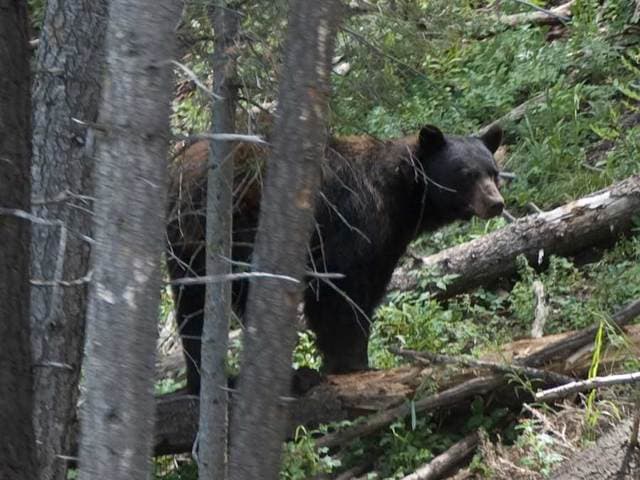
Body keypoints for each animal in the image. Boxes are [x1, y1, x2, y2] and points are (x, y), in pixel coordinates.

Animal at [166, 123, 504, 393]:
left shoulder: (386, 244)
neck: (403, 198)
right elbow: (341, 295)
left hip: (186, 248)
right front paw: (350, 361)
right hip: (237, 230)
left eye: (493, 171)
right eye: (466, 173)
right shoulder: (353, 227)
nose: (496, 203)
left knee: (192, 307)